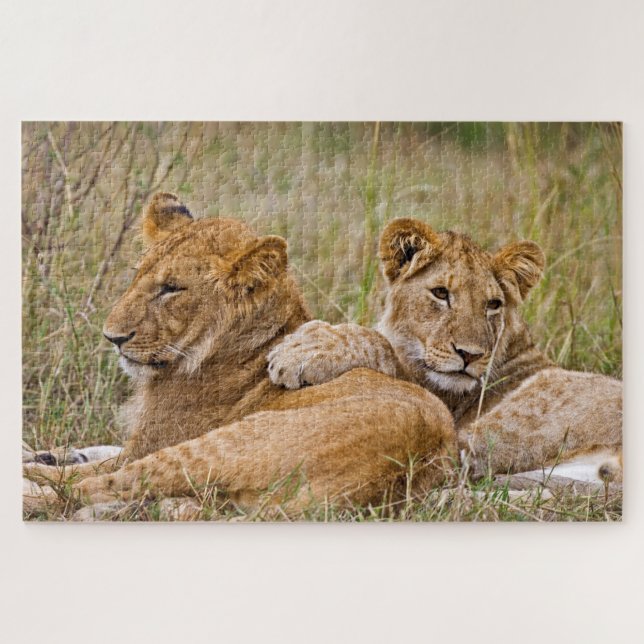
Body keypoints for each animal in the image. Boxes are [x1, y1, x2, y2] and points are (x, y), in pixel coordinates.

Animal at [24, 195, 457, 516]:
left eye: (172, 288)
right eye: (138, 274)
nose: (112, 337)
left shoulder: (146, 445)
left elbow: (88, 469)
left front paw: (38, 461)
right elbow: (92, 450)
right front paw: (49, 452)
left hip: (217, 446)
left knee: (85, 489)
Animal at [268, 218, 623, 483]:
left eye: (493, 304)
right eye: (441, 293)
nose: (470, 355)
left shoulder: (434, 398)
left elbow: (378, 344)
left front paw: (301, 350)